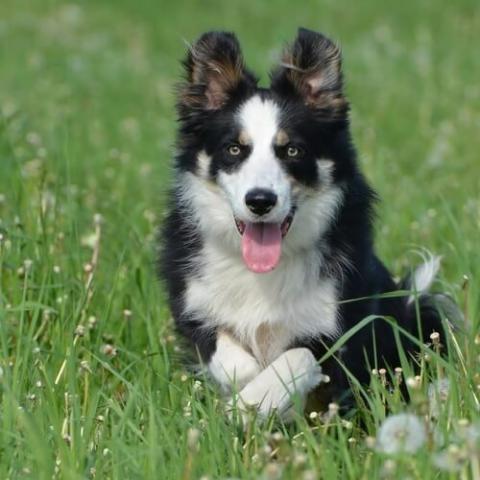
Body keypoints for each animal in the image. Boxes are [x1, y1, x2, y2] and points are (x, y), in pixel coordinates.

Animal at [160, 29, 454, 420]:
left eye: (292, 150)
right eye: (234, 149)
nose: (260, 201)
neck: (263, 272)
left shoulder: (337, 324)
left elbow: (296, 357)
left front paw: (256, 399)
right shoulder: (196, 306)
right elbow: (229, 355)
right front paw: (245, 392)